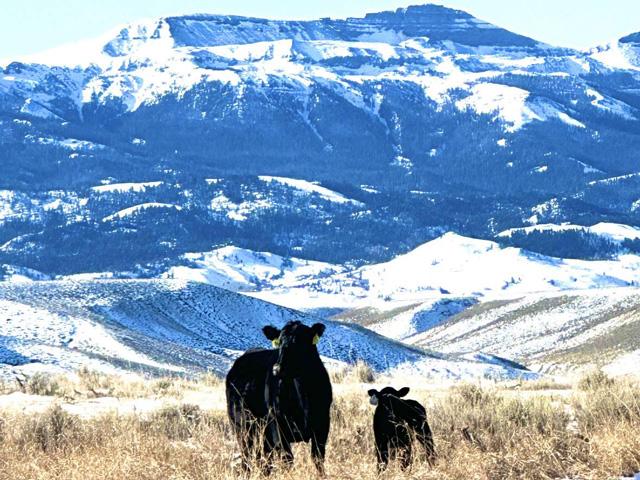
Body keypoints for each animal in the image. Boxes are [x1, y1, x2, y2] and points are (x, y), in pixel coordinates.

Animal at [226, 320, 332, 475]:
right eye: (279, 342)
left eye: (301, 341)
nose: (277, 369)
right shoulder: (278, 426)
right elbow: (287, 459)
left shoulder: (322, 425)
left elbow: (318, 458)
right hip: (242, 426)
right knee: (247, 454)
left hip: (263, 432)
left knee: (264, 459)